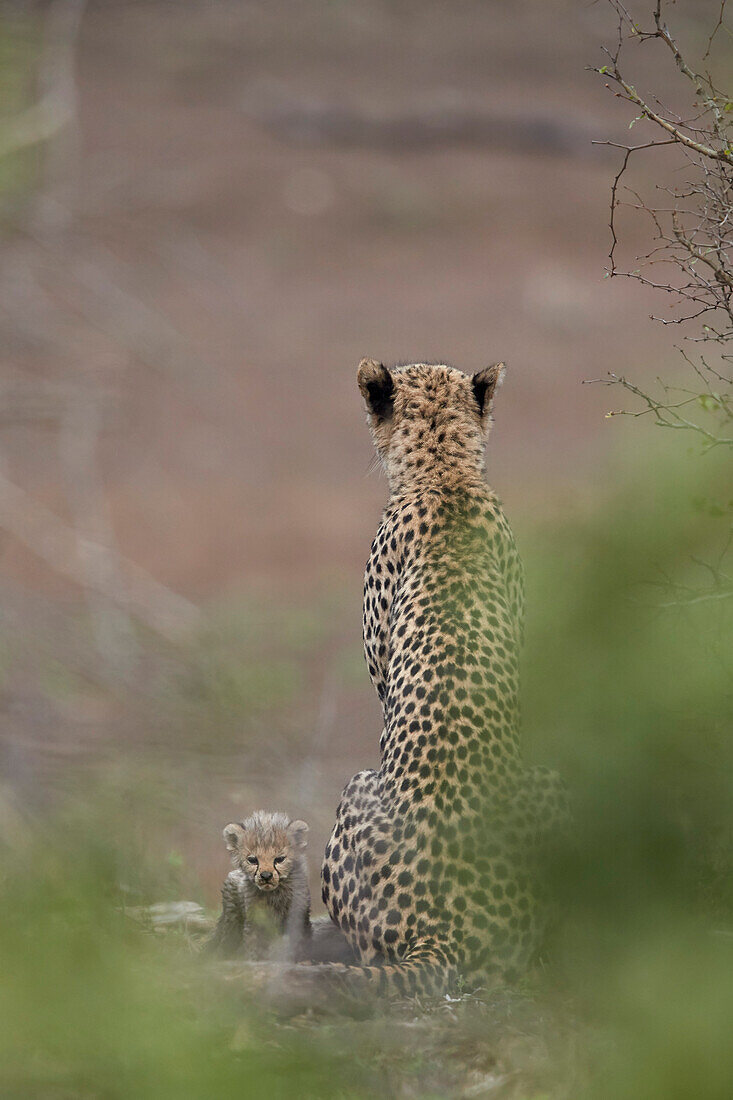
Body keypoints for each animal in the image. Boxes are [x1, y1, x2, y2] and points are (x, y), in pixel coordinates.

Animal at [205, 814, 310, 959]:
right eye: (252, 860)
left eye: (280, 859)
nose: (266, 876)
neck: (274, 894)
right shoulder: (254, 921)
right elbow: (254, 946)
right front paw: (254, 960)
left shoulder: (298, 917)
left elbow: (299, 944)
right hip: (232, 919)